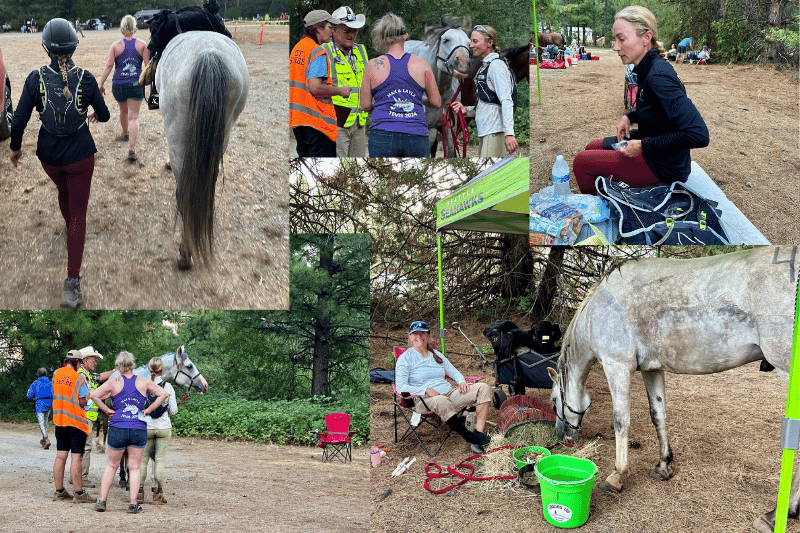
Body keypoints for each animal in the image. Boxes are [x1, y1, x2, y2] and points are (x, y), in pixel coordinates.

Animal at [548, 245, 800, 528]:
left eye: (554, 402)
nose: (562, 435)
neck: (597, 311)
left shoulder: (617, 367)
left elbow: (621, 421)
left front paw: (617, 476)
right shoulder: (651, 369)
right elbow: (658, 415)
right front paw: (663, 465)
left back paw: (775, 515)